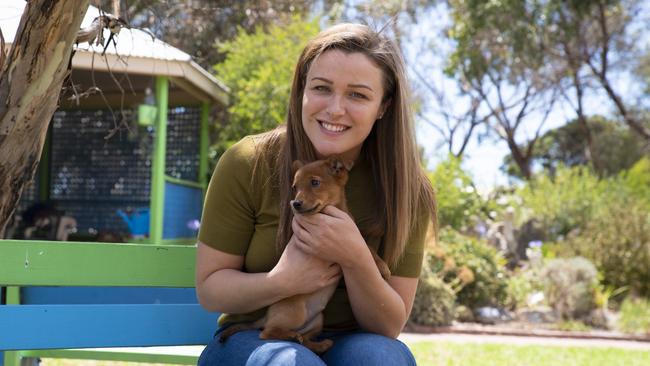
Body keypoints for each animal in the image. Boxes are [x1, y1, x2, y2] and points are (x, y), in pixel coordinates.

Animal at [218, 156, 390, 354]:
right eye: (295, 187)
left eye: (315, 182)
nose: (295, 203)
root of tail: (267, 316)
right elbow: (367, 249)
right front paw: (384, 269)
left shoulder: (352, 236)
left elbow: (368, 248)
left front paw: (382, 267)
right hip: (296, 313)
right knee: (267, 333)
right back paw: (291, 336)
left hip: (317, 321)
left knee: (306, 340)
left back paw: (320, 344)